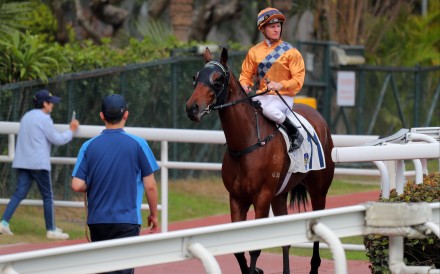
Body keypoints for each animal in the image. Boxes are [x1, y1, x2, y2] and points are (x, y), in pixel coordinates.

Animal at [185, 47, 334, 274]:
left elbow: (255, 248)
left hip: (319, 191)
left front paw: (256, 269)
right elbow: (238, 250)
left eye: (218, 79)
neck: (246, 144)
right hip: (279, 195)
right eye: (196, 77)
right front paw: (253, 269)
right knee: (285, 240)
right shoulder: (237, 198)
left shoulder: (262, 197)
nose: (192, 108)